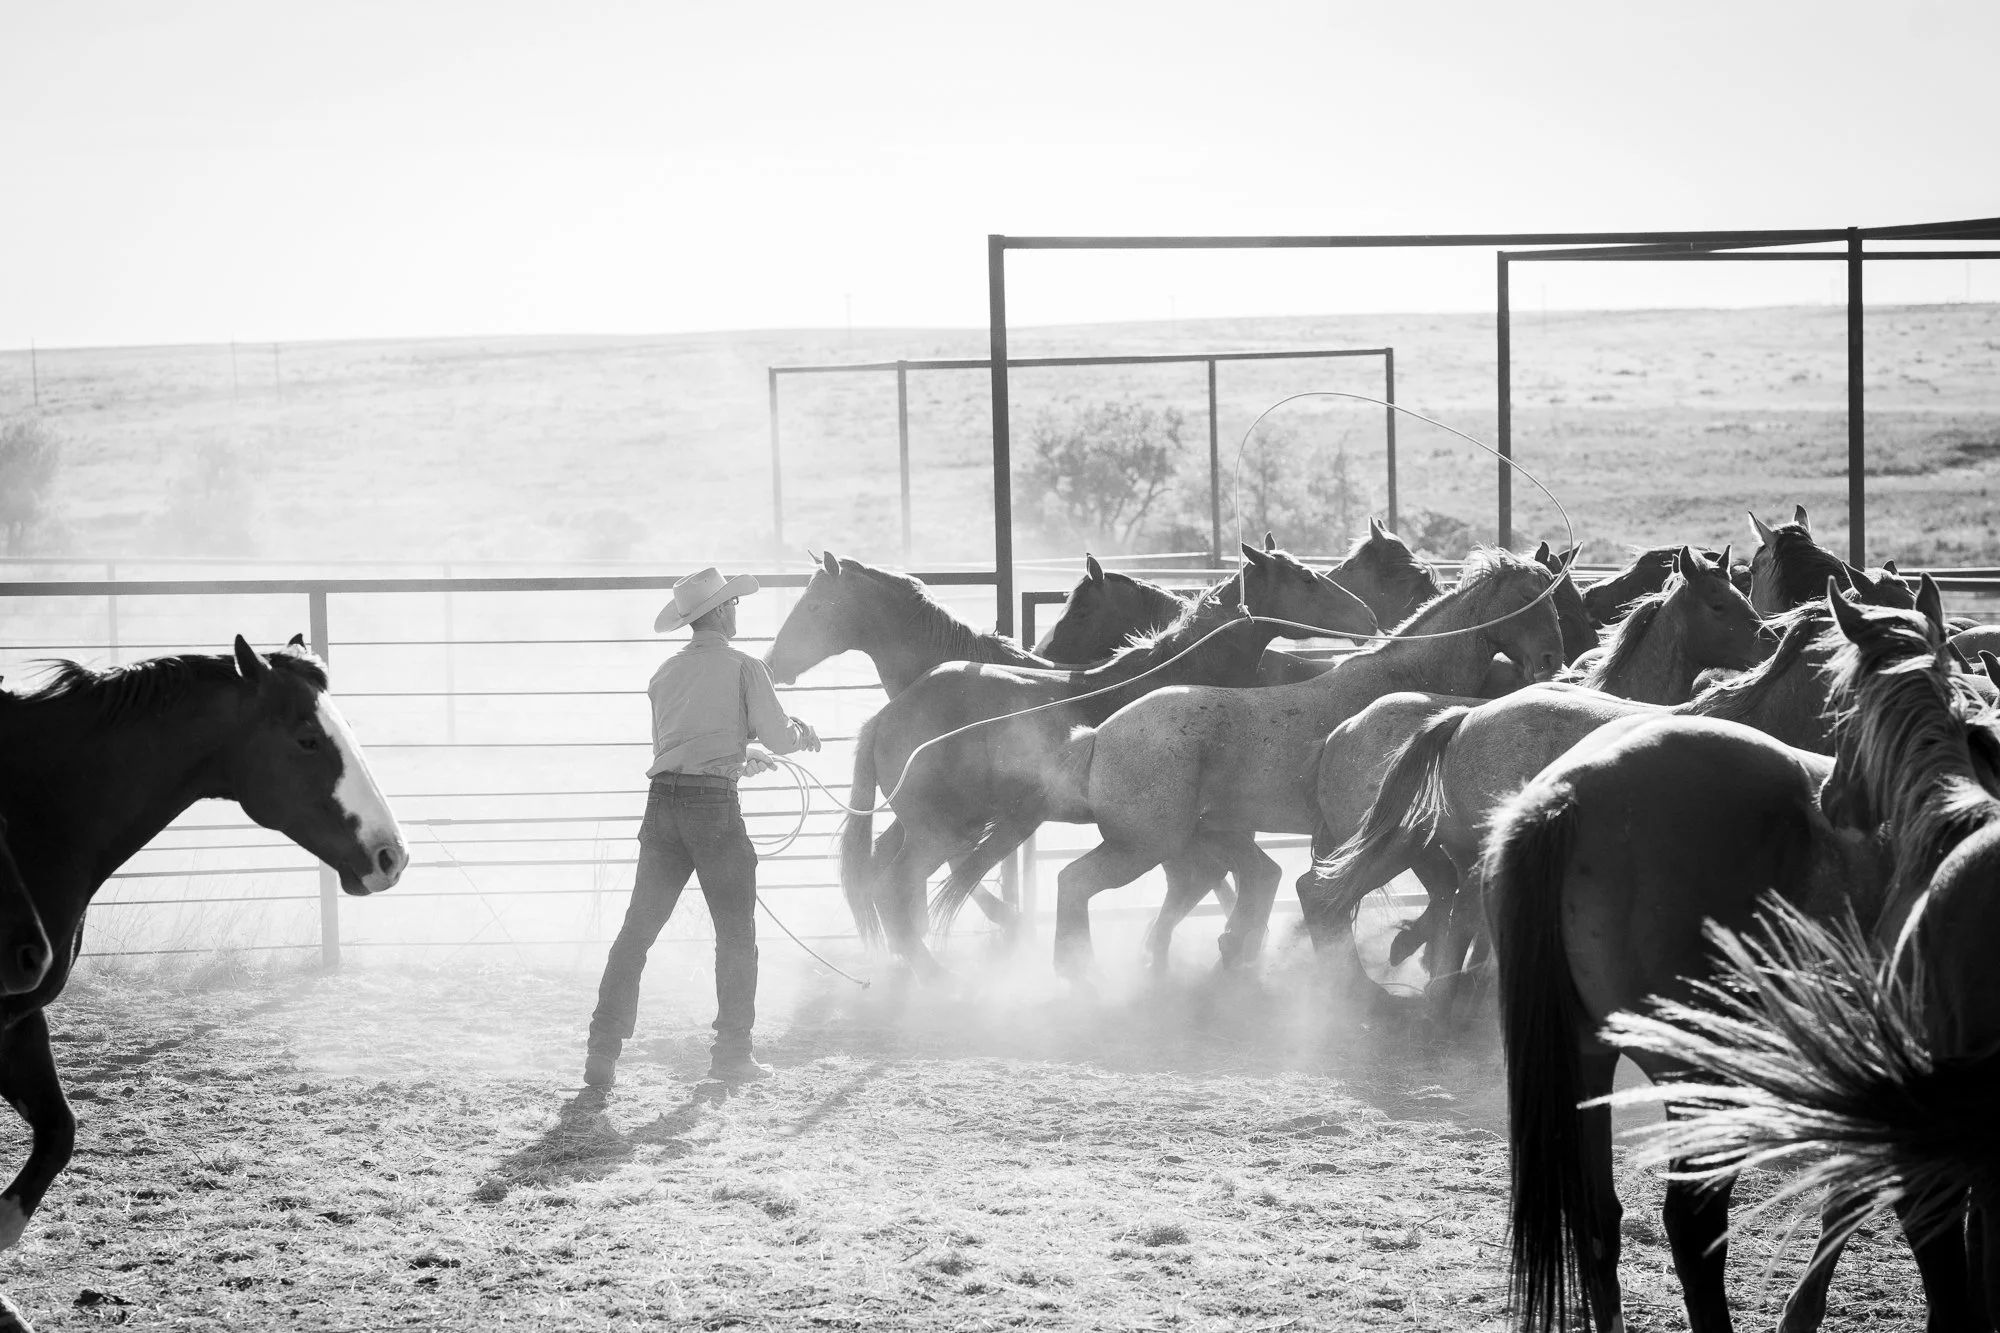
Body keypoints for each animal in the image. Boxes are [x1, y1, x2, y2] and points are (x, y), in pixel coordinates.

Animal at [842, 542, 1378, 975]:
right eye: (1307, 578)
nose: (1368, 619)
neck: (1179, 676)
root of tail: (886, 717)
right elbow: (1210, 879)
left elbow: (1208, 880)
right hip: (938, 831)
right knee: (893, 888)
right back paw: (937, 976)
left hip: (932, 826)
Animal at [1034, 547, 1565, 977]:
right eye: (1529, 597)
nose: (1551, 660)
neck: (1403, 680)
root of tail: (1099, 735)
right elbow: (1421, 892)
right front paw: (1403, 948)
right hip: (1144, 844)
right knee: (1075, 882)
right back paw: (1078, 970)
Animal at [1483, 586, 1973, 1333]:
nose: (1837, 800)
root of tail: (1568, 792)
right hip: (1697, 1075)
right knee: (1693, 1226)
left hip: (1588, 1053)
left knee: (1599, 1220)